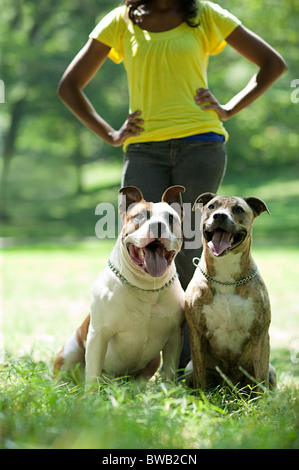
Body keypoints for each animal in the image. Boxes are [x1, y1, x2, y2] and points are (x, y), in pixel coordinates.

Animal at [186, 193, 278, 392]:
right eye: (212, 206)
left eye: (238, 209)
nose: (220, 216)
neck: (225, 274)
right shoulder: (196, 333)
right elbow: (200, 374)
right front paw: (202, 397)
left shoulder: (260, 333)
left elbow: (261, 379)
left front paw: (261, 401)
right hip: (188, 368)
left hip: (271, 370)